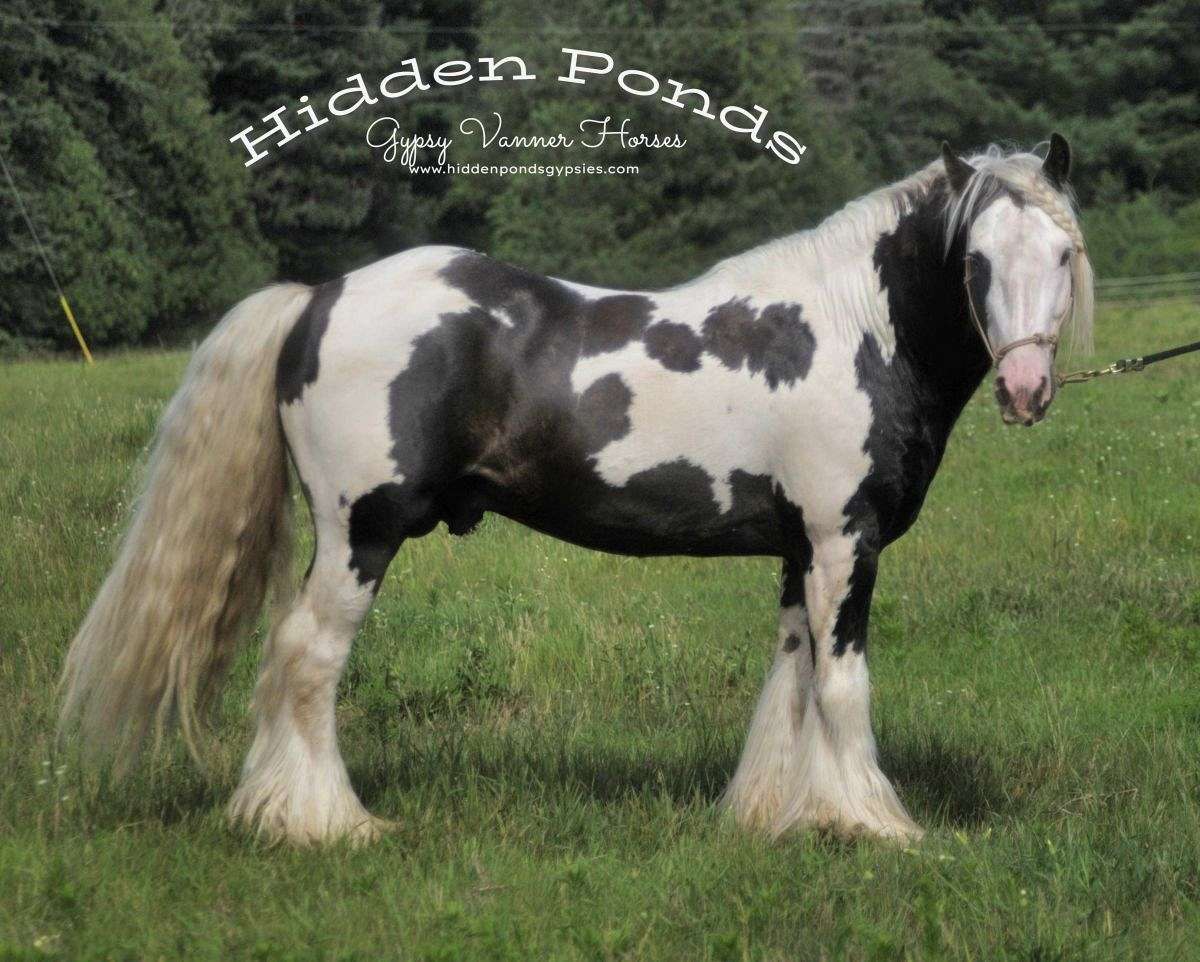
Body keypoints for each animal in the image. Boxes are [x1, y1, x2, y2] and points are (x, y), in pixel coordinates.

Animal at [60, 135, 1094, 845]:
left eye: (1063, 255)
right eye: (975, 261)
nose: (1026, 388)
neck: (853, 329)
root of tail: (320, 296)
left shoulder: (801, 549)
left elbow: (791, 683)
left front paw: (774, 814)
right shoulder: (846, 542)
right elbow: (842, 684)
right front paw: (876, 826)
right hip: (363, 532)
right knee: (306, 659)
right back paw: (325, 822)